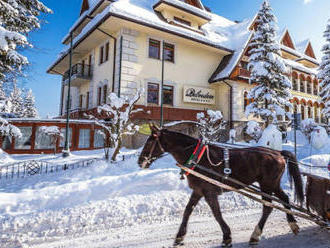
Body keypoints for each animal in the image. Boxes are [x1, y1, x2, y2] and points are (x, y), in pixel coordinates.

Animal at [137, 126, 304, 248]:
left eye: (150, 141)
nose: (140, 161)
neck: (197, 157)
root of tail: (278, 152)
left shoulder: (209, 192)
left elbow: (217, 214)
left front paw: (227, 237)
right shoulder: (198, 191)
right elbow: (187, 211)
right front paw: (179, 236)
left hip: (267, 184)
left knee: (268, 207)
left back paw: (255, 235)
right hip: (272, 184)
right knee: (284, 198)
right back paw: (293, 225)